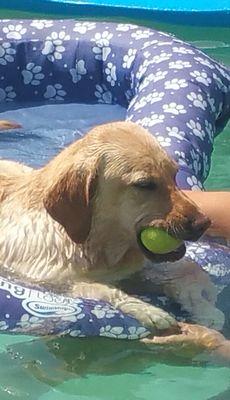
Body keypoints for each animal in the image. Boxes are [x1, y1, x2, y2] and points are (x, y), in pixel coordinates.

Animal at [0, 119, 223, 338]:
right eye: (145, 184)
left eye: (174, 174)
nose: (204, 223)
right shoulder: (48, 282)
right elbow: (101, 289)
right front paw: (147, 309)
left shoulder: (133, 271)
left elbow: (182, 274)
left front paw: (203, 305)